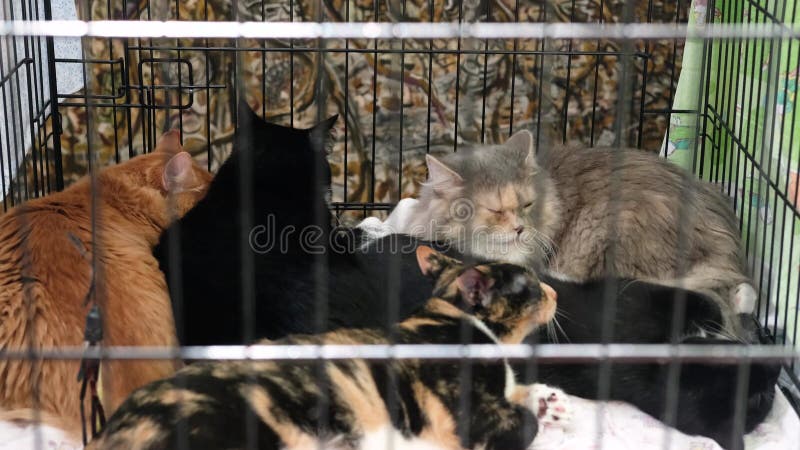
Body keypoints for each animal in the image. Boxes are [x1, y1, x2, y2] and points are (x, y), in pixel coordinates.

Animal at [87, 246, 560, 450]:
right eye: (533, 286)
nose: (555, 291)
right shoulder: (467, 410)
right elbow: (519, 422)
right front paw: (535, 412)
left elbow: (522, 392)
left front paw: (548, 400)